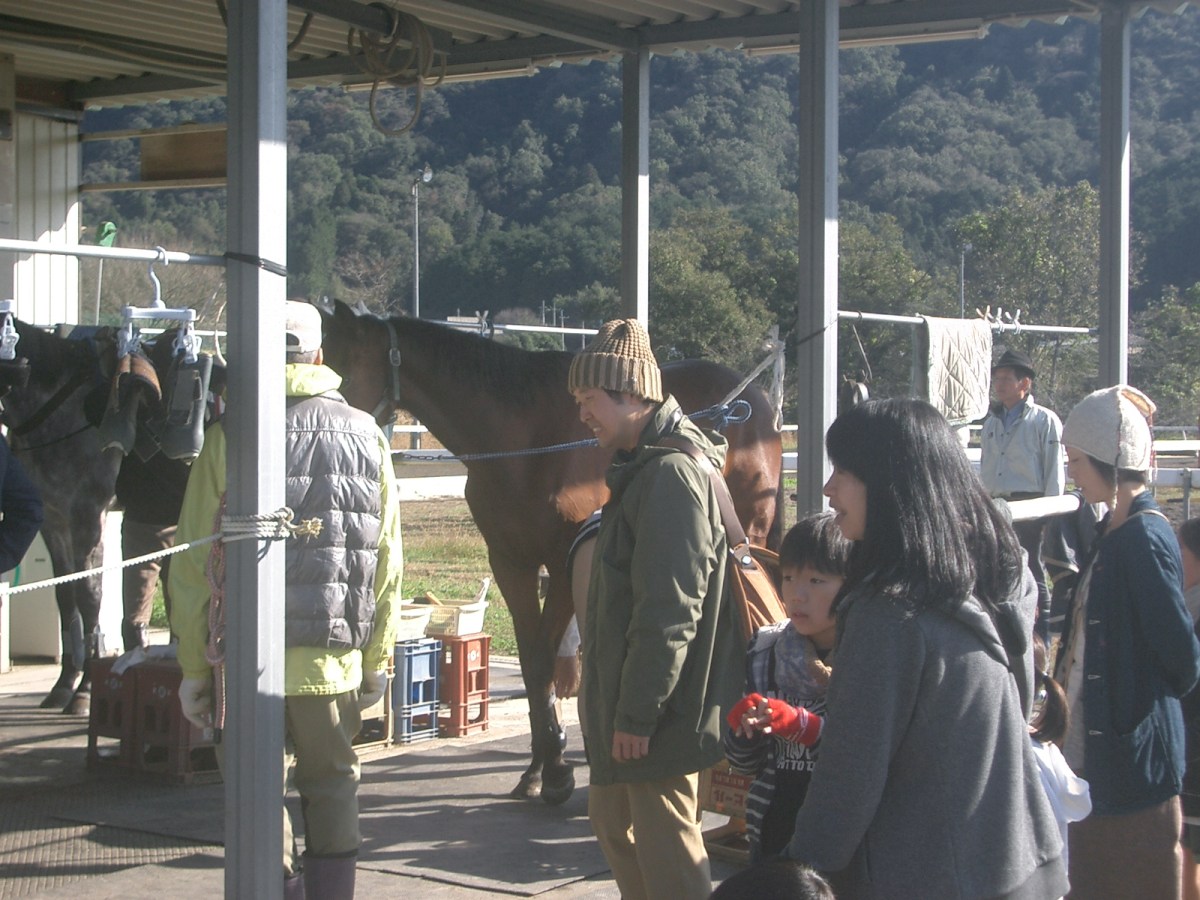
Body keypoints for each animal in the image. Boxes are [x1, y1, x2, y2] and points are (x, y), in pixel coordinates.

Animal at [318, 299, 783, 805]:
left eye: (341, 372)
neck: (526, 442)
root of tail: (752, 399)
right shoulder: (510, 563)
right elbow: (531, 664)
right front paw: (540, 767)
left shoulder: (562, 563)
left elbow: (544, 658)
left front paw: (557, 768)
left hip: (748, 532)